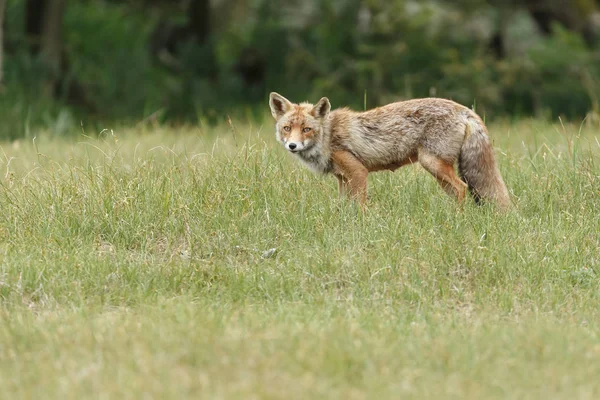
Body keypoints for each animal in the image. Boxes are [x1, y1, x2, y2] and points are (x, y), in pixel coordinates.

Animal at [270, 92, 508, 208]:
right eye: (287, 128)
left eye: (307, 129)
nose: (292, 145)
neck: (328, 136)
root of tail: (464, 109)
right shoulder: (342, 178)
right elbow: (343, 207)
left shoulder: (358, 173)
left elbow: (359, 206)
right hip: (438, 172)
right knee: (460, 190)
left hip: (433, 164)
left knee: (462, 188)